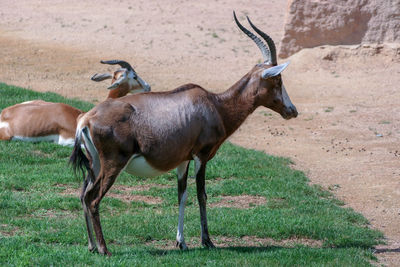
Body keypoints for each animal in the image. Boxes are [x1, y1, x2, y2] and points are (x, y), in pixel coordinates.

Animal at [70, 13, 298, 258]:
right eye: (278, 80)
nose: (292, 111)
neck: (214, 104)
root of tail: (87, 119)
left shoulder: (183, 161)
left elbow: (182, 195)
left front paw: (182, 242)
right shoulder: (201, 156)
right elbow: (201, 195)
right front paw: (207, 241)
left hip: (94, 165)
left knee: (83, 195)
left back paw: (92, 246)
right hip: (112, 165)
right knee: (94, 199)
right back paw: (105, 249)